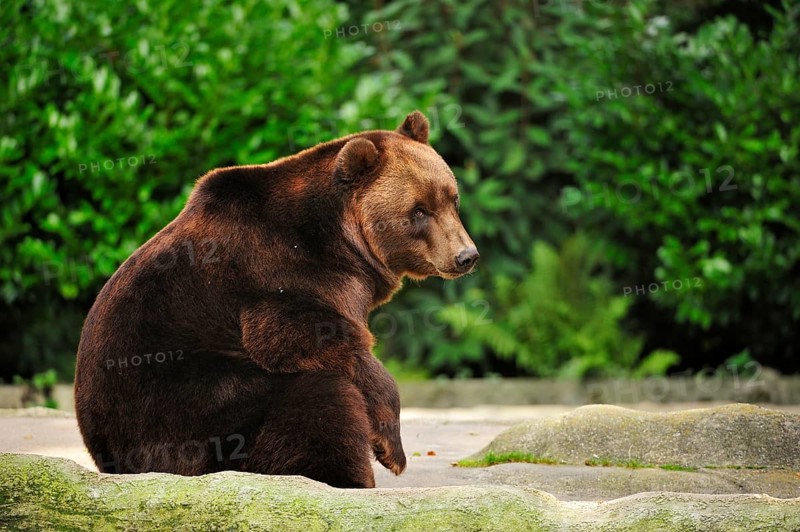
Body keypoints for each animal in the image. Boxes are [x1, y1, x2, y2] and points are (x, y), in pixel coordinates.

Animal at [74, 110, 479, 488]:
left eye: (452, 199)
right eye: (419, 211)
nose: (466, 255)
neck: (343, 244)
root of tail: (111, 460)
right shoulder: (278, 277)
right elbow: (308, 340)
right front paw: (391, 450)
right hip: (188, 414)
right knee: (317, 398)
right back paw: (347, 478)